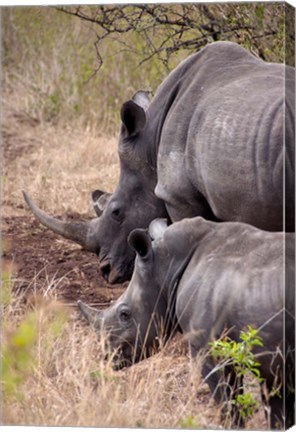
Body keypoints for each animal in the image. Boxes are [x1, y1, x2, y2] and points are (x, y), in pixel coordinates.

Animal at [77, 218, 294, 430]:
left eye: (124, 314)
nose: (106, 356)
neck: (167, 267)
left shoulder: (211, 348)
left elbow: (229, 404)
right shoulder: (272, 362)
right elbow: (278, 410)